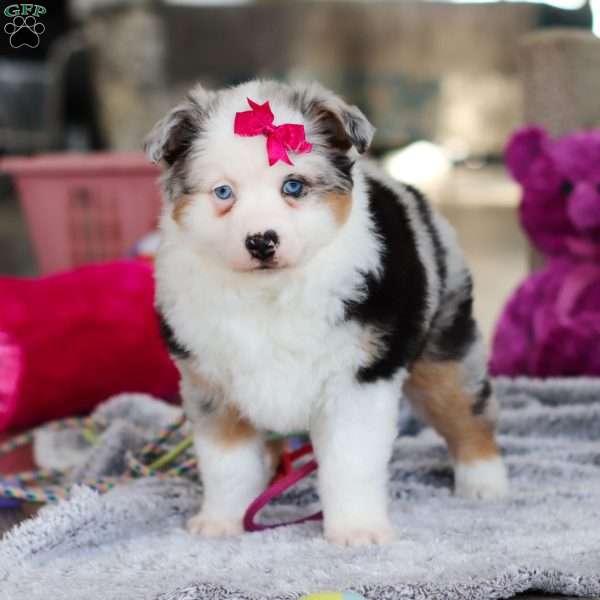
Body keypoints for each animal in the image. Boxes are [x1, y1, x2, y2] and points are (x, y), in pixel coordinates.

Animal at [145, 81, 506, 548]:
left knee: (465, 410)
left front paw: (356, 530)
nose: (261, 241)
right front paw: (220, 522)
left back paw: (485, 484)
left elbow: (350, 463)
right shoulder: (211, 385)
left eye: (293, 186)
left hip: (443, 341)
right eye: (223, 193)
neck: (269, 291)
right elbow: (228, 466)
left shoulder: (357, 381)